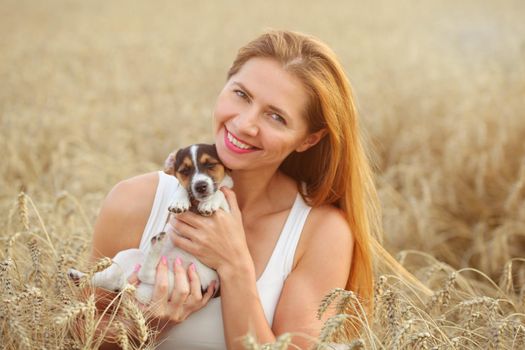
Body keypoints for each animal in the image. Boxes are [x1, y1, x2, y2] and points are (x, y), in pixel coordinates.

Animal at [68, 144, 232, 304]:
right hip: (129, 256)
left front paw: (210, 202)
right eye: (184, 171)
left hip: (188, 281)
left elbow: (221, 192)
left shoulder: (227, 212)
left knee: (144, 274)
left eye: (210, 165)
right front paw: (179, 200)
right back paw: (79, 276)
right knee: (115, 277)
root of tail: (128, 285)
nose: (200, 186)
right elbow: (182, 188)